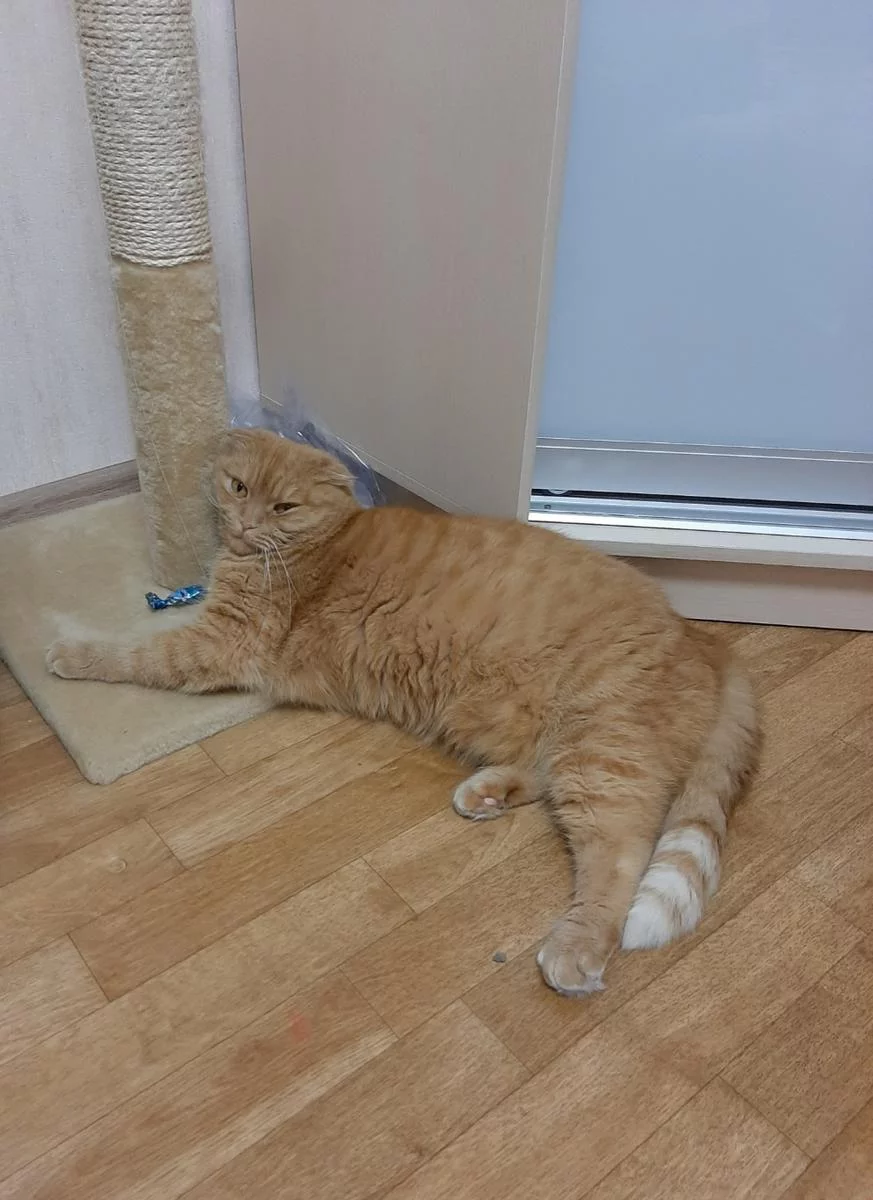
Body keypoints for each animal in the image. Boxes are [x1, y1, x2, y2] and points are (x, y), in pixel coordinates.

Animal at [47, 428, 759, 996]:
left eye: (283, 506)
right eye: (238, 486)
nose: (245, 525)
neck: (312, 544)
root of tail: (701, 639)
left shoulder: (223, 643)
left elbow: (137, 656)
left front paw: (71, 654)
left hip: (600, 747)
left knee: (620, 854)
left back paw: (576, 948)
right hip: (555, 740)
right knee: (544, 778)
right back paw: (487, 793)